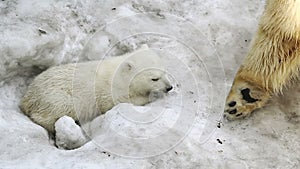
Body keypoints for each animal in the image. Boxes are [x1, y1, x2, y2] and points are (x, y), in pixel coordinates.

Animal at [19, 44, 172, 133]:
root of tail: (27, 97)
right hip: (56, 97)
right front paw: (149, 96)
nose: (169, 87)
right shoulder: (109, 92)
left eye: (165, 72)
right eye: (154, 78)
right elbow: (117, 102)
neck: (120, 76)